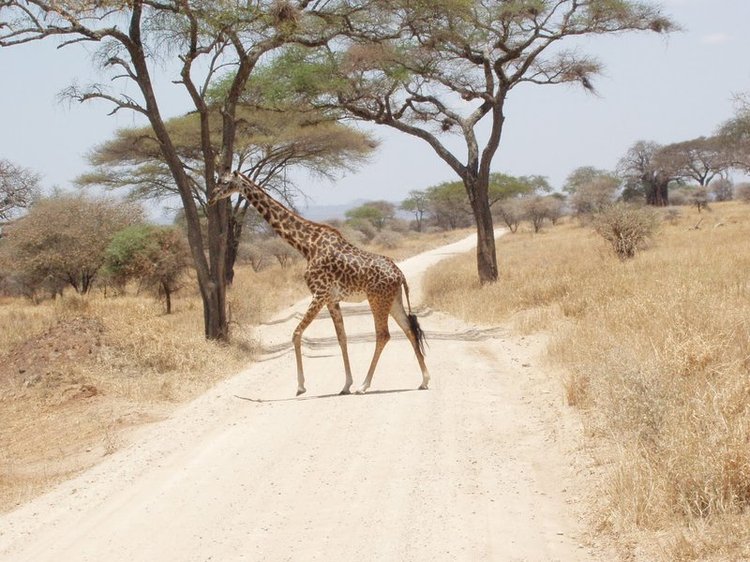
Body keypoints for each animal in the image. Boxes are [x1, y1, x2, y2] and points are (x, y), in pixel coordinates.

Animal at [210, 171, 428, 394]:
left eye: (224, 182)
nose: (211, 197)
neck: (306, 245)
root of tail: (399, 273)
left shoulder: (319, 293)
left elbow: (297, 333)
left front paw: (301, 386)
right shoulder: (331, 299)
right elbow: (342, 338)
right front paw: (345, 384)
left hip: (377, 299)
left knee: (383, 334)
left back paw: (365, 385)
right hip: (393, 300)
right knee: (409, 329)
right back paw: (424, 380)